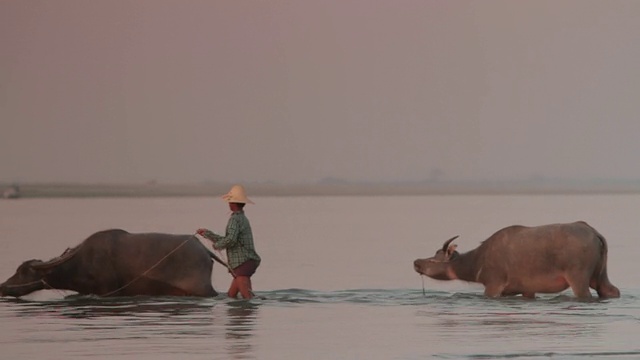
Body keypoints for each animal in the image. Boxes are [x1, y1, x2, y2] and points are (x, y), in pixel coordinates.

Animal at [416, 221, 620, 300]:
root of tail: (595, 233)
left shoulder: (493, 285)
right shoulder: (527, 290)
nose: (416, 262)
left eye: (436, 255)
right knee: (611, 290)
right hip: (600, 276)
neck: (476, 264)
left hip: (578, 277)